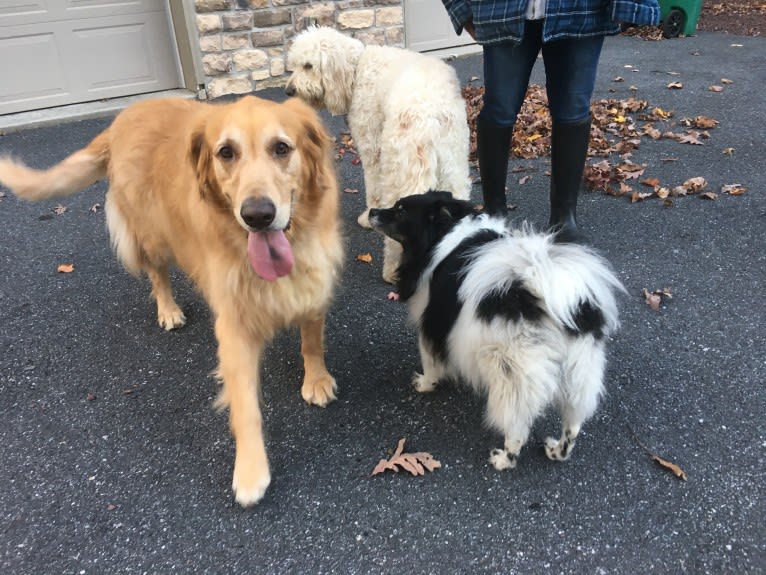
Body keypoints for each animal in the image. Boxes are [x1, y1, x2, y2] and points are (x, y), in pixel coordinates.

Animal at [284, 27, 472, 284]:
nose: (289, 90)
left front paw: (366, 219)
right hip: (454, 167)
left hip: (401, 173)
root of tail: (429, 118)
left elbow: (373, 189)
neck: (357, 68)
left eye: (308, 66)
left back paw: (391, 271)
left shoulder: (371, 148)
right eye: (293, 65)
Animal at [372, 191, 632, 470]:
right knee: (573, 425)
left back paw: (504, 459)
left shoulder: (431, 322)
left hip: (511, 372)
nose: (372, 211)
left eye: (400, 210)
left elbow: (430, 360)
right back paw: (556, 451)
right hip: (578, 372)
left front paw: (424, 384)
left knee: (517, 426)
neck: (443, 234)